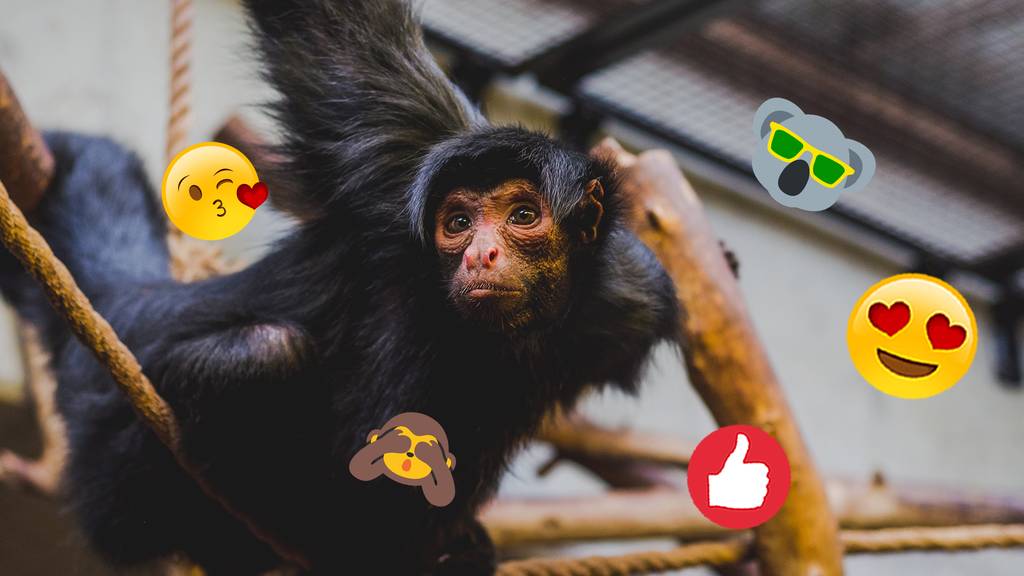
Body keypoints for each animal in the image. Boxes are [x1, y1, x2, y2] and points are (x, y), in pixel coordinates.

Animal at [0, 1, 680, 574]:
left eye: (521, 216)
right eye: (458, 223)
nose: (481, 253)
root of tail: (138, 304)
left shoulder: (630, 294)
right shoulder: (401, 158)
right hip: (113, 472)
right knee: (267, 352)